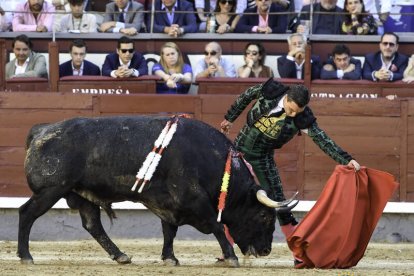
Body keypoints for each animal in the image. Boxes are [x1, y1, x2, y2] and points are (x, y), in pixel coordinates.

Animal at [19, 115, 296, 266]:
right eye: (264, 216)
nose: (266, 250)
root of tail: (40, 131)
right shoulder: (193, 198)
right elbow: (216, 226)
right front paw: (231, 257)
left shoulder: (170, 203)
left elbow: (169, 231)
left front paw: (169, 257)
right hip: (51, 190)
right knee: (27, 214)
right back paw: (26, 256)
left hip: (81, 193)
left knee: (92, 225)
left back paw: (121, 255)